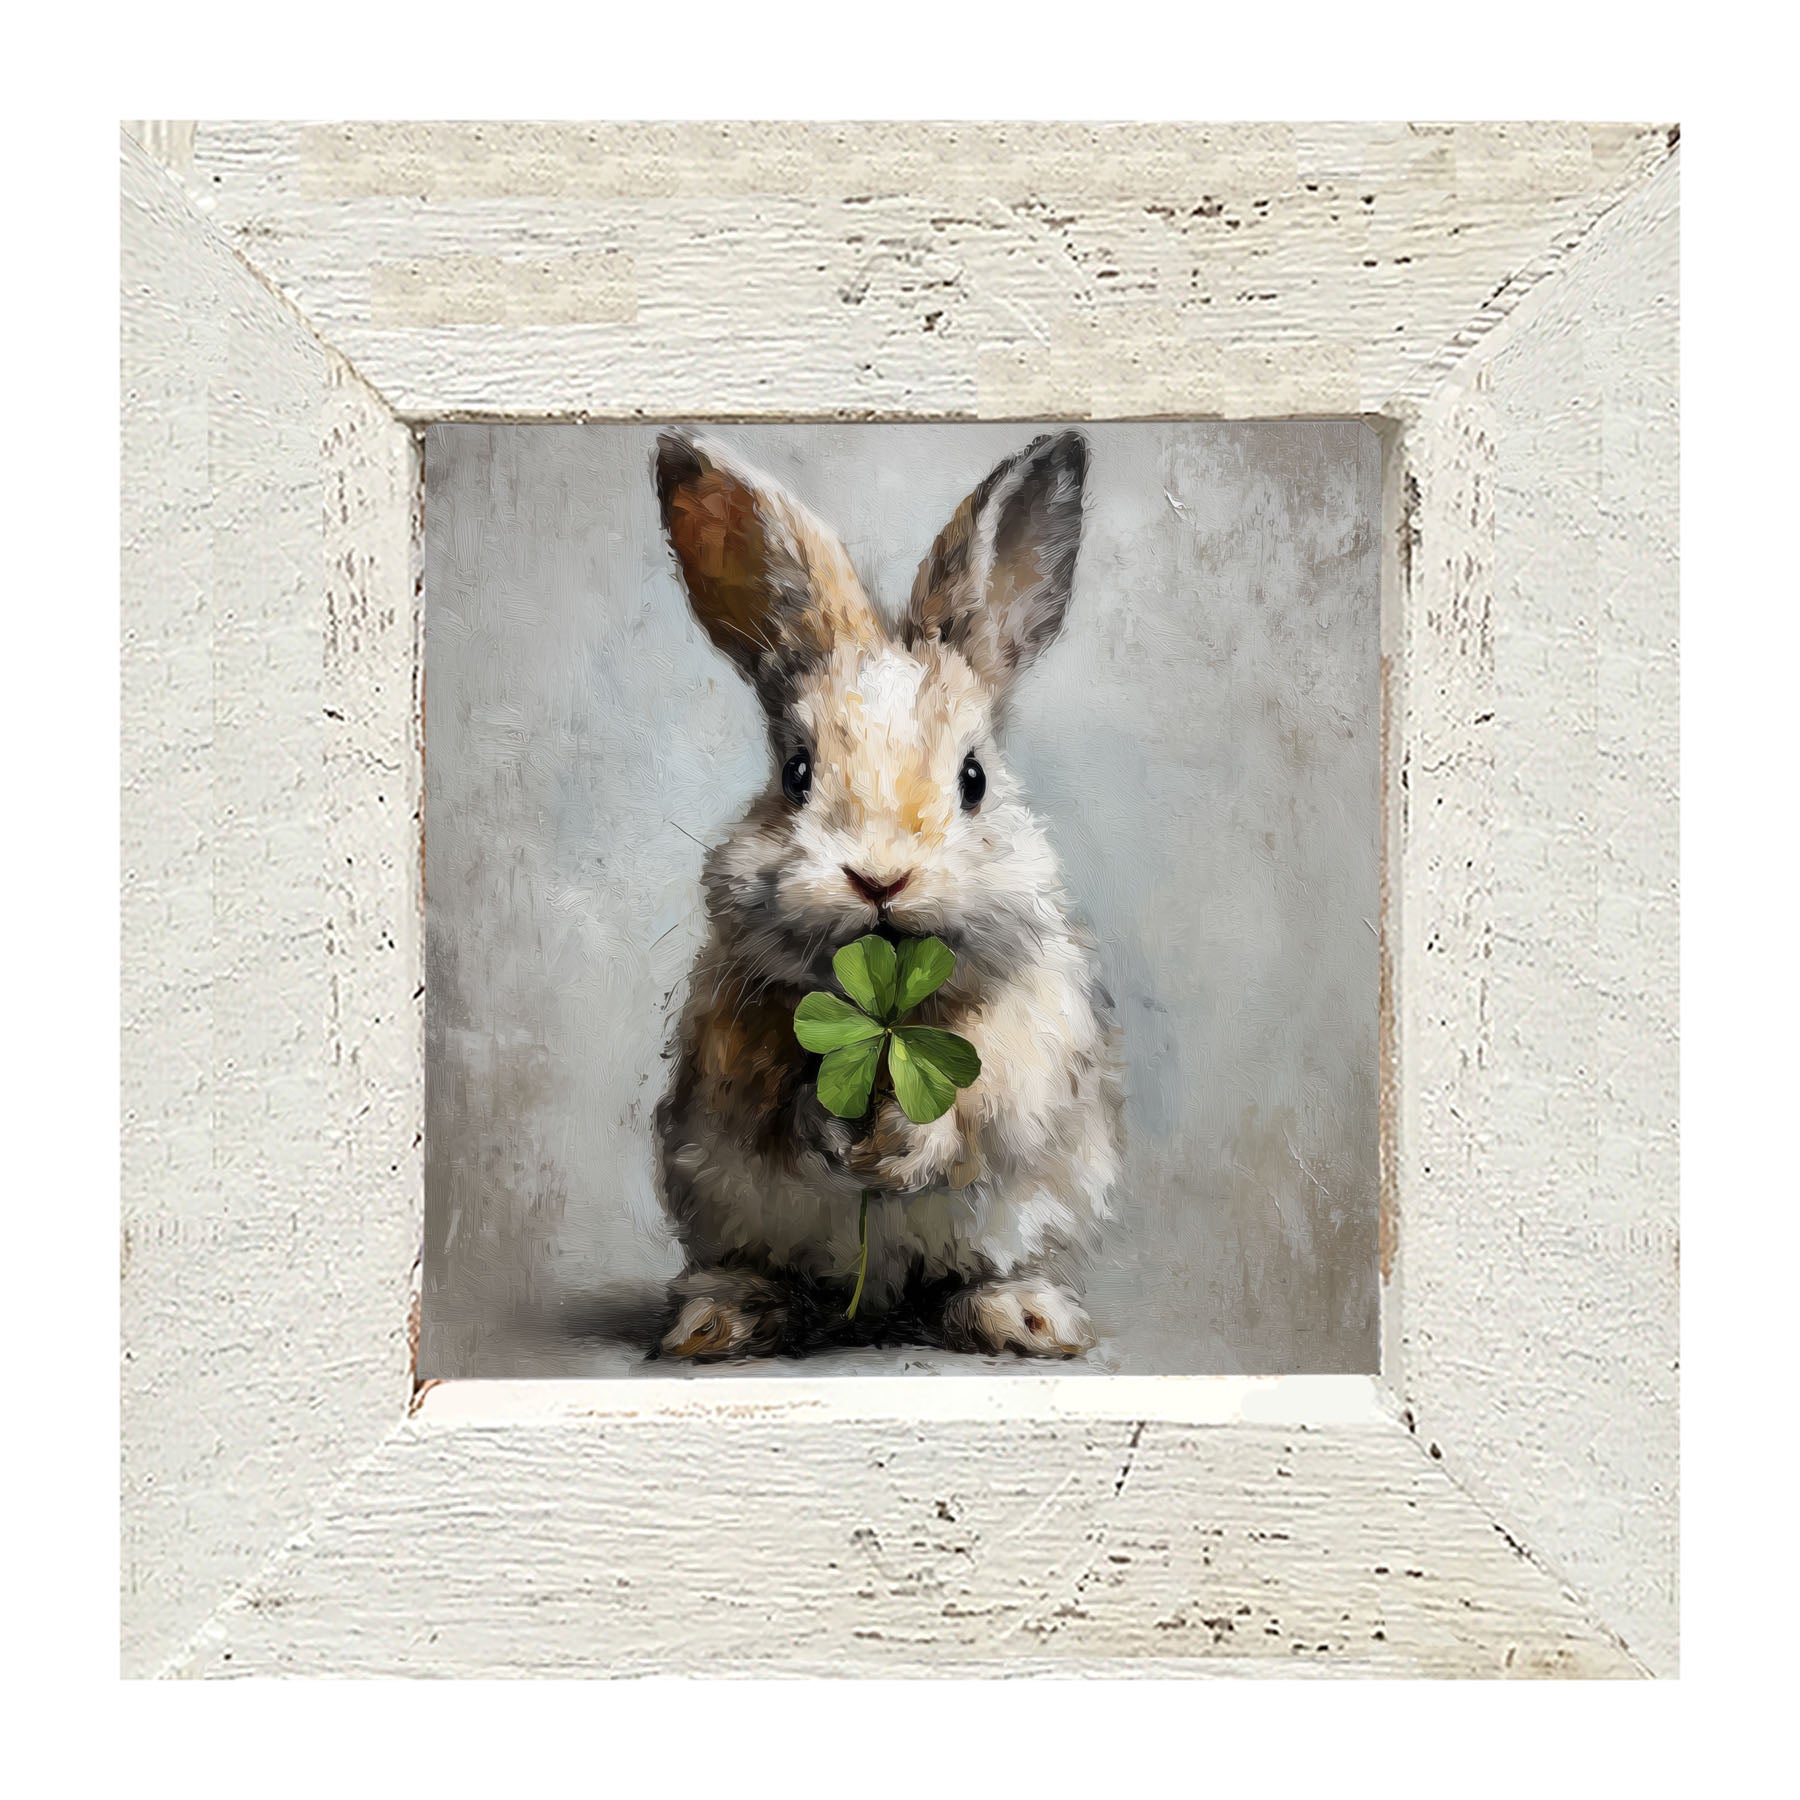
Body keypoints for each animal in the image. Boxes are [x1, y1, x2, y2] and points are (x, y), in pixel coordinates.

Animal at [651, 428, 1123, 1361]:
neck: (891, 1013)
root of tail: (877, 1303)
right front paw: (840, 1135)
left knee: (978, 1272)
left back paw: (1026, 1316)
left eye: (974, 779)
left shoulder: (1030, 1036)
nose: (879, 878)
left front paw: (903, 1144)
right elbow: (778, 1102)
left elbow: (982, 1097)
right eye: (796, 775)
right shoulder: (733, 1043)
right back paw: (722, 1319)